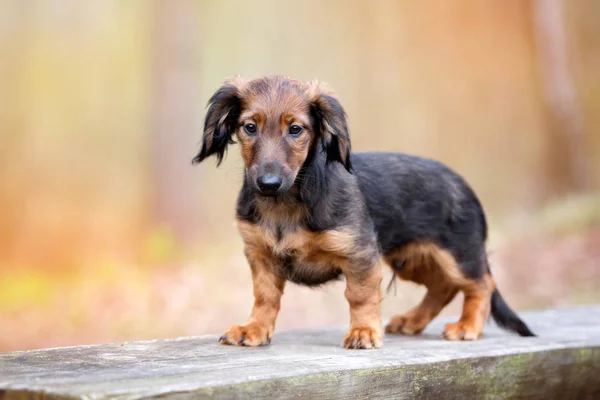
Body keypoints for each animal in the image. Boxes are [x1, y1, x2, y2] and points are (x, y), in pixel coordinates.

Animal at [193, 76, 536, 350]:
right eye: (250, 127)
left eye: (296, 129)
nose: (267, 183)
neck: (285, 203)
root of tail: (463, 184)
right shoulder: (260, 255)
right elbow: (265, 296)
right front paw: (254, 328)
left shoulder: (359, 254)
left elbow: (359, 296)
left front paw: (363, 332)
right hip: (413, 258)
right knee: (443, 286)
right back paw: (412, 321)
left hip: (457, 253)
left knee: (480, 285)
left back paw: (468, 326)